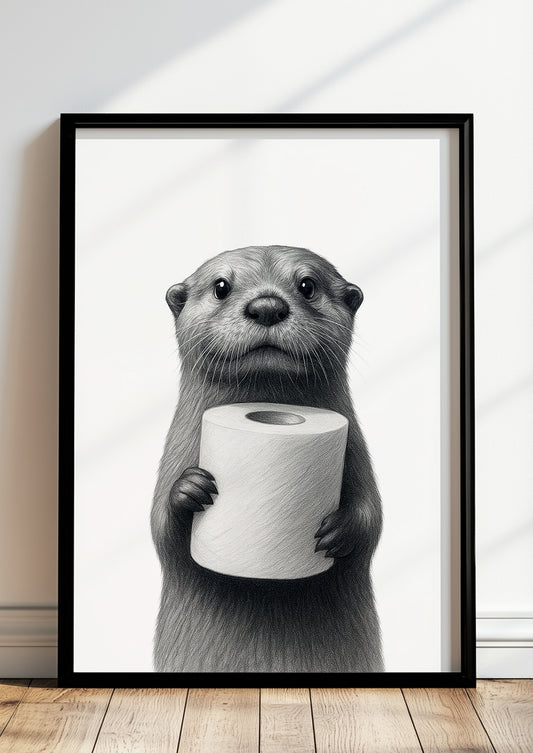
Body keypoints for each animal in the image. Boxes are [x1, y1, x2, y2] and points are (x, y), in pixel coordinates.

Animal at [151, 245, 383, 673]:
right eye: (221, 286)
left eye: (307, 285)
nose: (267, 306)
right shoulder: (175, 451)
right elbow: (162, 529)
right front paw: (190, 489)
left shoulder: (357, 451)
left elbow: (372, 516)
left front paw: (338, 529)